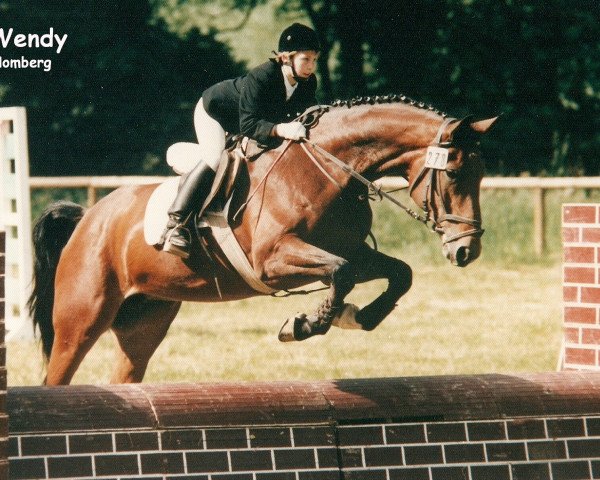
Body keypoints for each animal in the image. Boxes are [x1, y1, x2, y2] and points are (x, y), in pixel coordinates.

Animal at [28, 95, 496, 384]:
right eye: (455, 173)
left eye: (481, 173)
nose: (466, 250)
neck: (332, 169)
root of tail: (88, 219)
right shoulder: (273, 263)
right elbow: (341, 274)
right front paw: (305, 324)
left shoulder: (352, 252)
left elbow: (399, 273)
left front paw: (358, 317)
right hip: (81, 319)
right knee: (56, 375)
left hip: (145, 318)